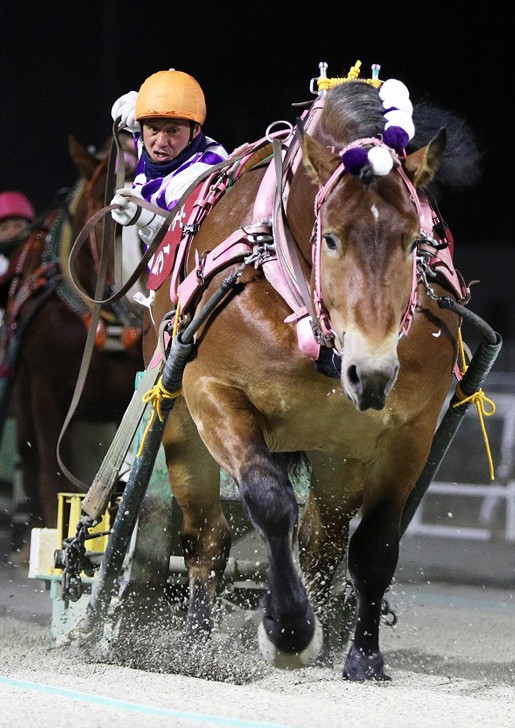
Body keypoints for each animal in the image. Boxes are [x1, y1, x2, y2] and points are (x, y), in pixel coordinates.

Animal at [143, 79, 482, 684]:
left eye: (414, 239)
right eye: (333, 239)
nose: (372, 371)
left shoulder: (409, 430)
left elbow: (374, 545)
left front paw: (364, 656)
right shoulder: (213, 394)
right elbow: (270, 502)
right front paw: (288, 628)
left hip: (336, 455)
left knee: (322, 543)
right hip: (181, 425)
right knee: (206, 537)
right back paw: (197, 644)